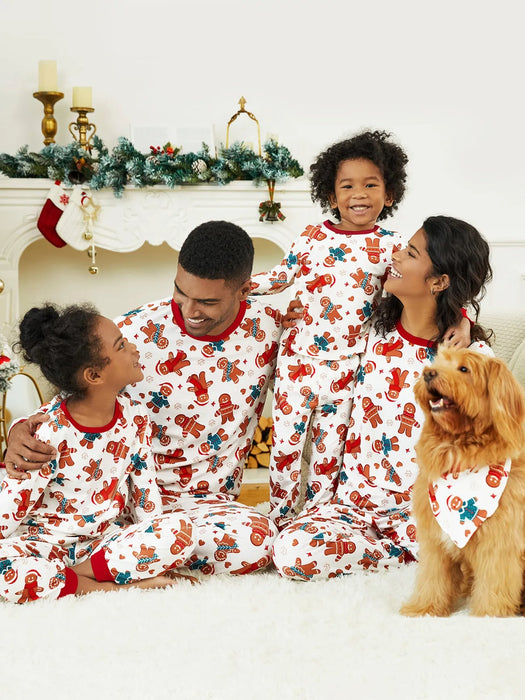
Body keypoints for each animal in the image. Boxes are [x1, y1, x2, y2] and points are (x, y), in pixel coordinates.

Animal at [400, 348, 524, 616]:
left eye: (464, 369)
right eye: (437, 361)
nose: (428, 374)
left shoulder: (499, 544)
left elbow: (494, 584)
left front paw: (488, 615)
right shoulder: (434, 541)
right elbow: (432, 578)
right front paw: (425, 608)